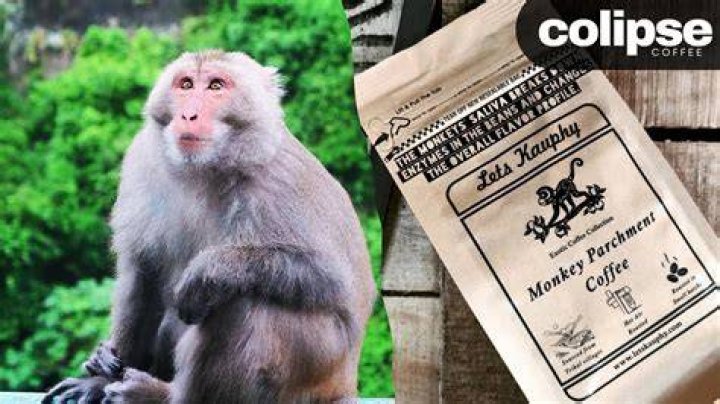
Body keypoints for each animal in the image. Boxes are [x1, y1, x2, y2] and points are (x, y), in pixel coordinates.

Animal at [42, 50, 376, 404]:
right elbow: (143, 272)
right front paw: (100, 377)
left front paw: (207, 273)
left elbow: (333, 279)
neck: (204, 169)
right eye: (186, 84)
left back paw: (163, 395)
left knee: (241, 300)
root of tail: (344, 384)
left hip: (316, 366)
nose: (189, 114)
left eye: (216, 86)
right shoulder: (141, 163)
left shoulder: (279, 182)